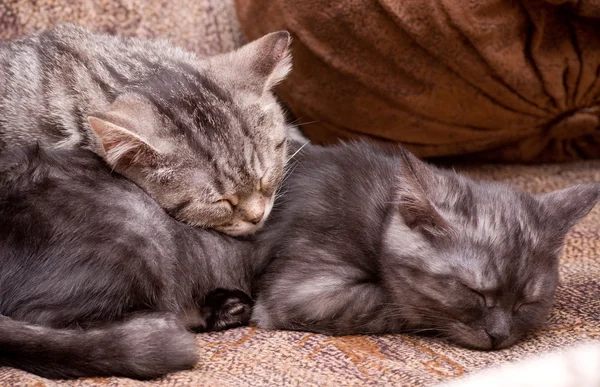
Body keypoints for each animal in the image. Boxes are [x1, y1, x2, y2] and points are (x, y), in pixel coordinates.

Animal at [253, 141, 600, 350]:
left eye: (527, 303)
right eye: (474, 292)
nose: (499, 336)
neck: (380, 210)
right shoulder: (303, 293)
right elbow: (398, 303)